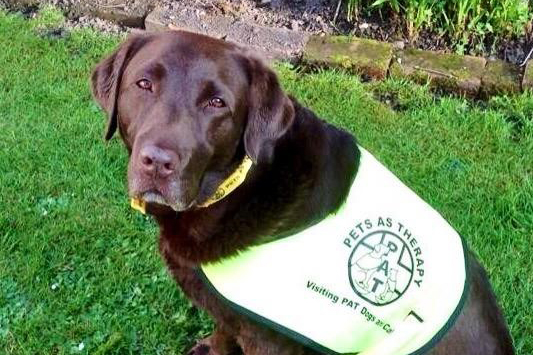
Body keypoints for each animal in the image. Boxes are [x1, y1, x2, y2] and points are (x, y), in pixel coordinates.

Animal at [92, 31, 516, 355]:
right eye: (143, 84)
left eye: (217, 103)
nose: (158, 162)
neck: (235, 188)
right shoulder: (228, 312)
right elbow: (223, 328)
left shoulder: (269, 341)